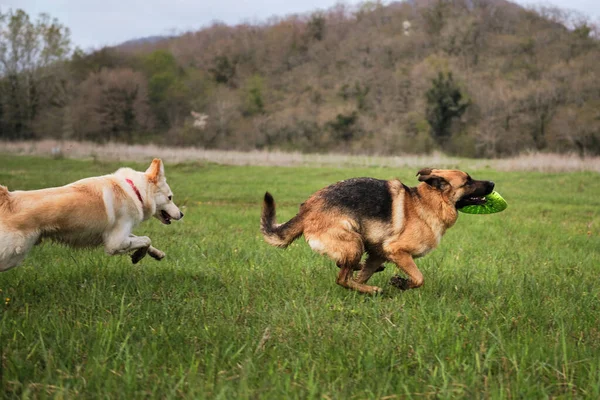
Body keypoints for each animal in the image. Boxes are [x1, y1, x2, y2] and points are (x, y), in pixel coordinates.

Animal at [0, 159, 183, 272]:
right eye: (170, 197)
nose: (181, 214)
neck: (135, 190)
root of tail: (7, 198)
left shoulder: (116, 235)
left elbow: (141, 239)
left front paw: (153, 254)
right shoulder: (114, 243)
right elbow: (146, 238)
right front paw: (140, 254)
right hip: (13, 255)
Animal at [260, 168, 494, 294]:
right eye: (468, 181)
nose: (492, 182)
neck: (428, 201)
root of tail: (307, 209)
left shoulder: (378, 254)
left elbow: (363, 275)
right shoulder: (396, 251)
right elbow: (419, 278)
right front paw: (401, 283)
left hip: (356, 244)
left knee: (347, 271)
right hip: (353, 241)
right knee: (342, 278)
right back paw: (373, 290)